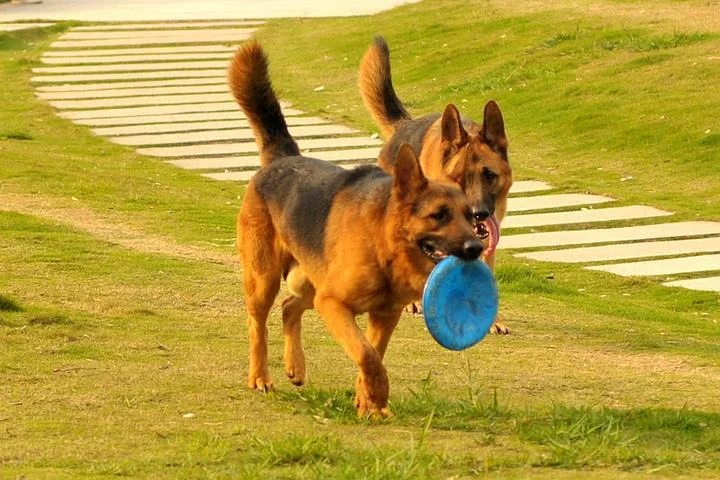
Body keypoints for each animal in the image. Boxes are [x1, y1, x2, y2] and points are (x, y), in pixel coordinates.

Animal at [231, 40, 484, 416]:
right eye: (439, 215)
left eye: (470, 216)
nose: (476, 249)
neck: (382, 243)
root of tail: (283, 159)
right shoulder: (334, 304)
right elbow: (366, 355)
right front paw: (376, 396)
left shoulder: (383, 316)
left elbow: (374, 354)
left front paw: (369, 403)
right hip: (266, 281)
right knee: (257, 325)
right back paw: (260, 377)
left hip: (309, 282)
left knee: (289, 307)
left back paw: (295, 366)